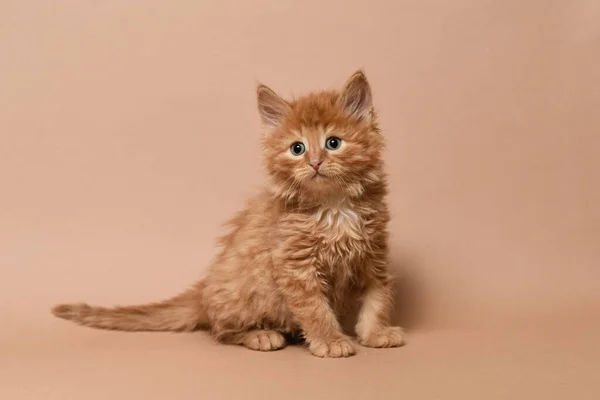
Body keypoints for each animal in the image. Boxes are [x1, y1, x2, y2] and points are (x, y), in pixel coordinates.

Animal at [54, 70, 406, 358]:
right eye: (297, 148)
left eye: (333, 143)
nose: (315, 162)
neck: (334, 207)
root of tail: (202, 292)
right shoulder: (296, 266)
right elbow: (314, 309)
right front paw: (330, 340)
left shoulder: (373, 254)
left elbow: (378, 299)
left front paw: (376, 333)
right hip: (242, 291)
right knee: (220, 330)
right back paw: (261, 335)